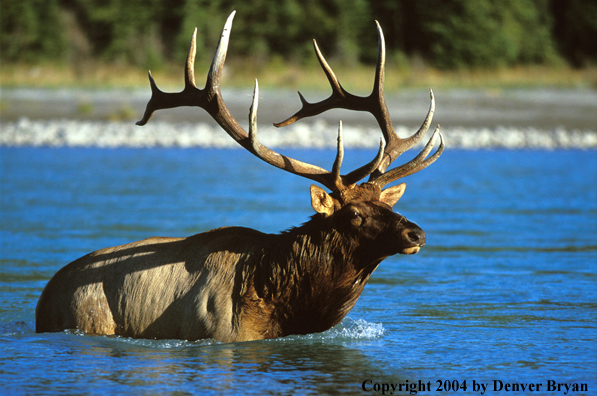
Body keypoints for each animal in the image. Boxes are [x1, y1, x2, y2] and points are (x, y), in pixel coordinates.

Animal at [33, 10, 442, 342]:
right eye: (354, 214)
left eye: (386, 205)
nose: (416, 233)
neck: (286, 307)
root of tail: (43, 298)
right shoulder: (220, 332)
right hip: (88, 316)